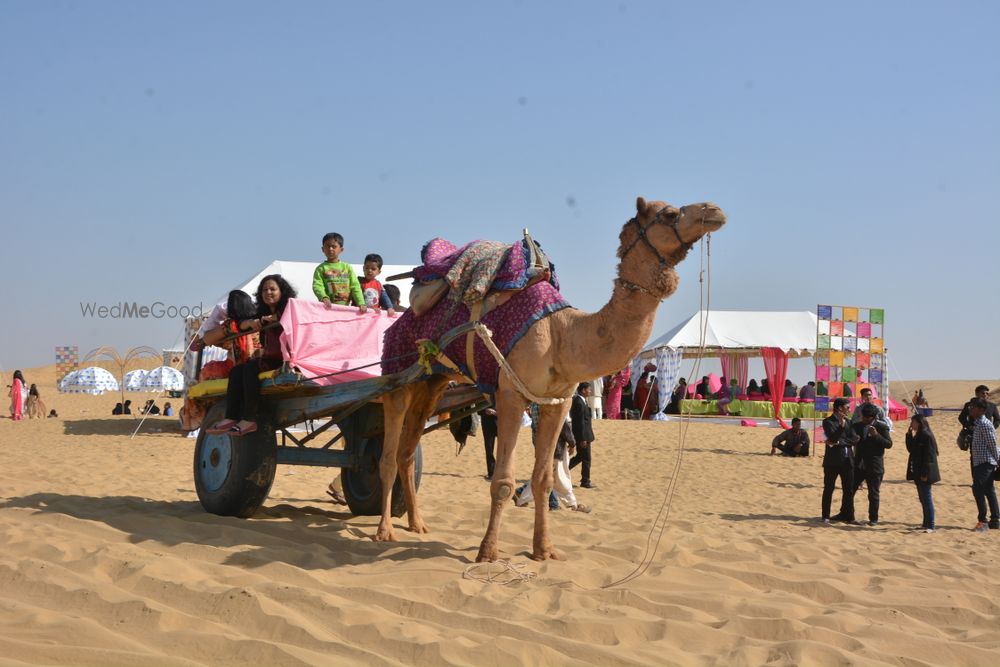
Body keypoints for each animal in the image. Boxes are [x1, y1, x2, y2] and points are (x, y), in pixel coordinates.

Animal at [376, 200, 728, 564]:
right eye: (670, 213)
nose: (714, 210)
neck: (562, 334)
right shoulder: (510, 394)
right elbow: (503, 481)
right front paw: (487, 552)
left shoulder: (557, 401)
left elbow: (544, 478)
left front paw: (544, 550)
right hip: (397, 373)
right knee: (386, 455)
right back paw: (384, 530)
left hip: (432, 381)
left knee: (407, 452)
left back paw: (417, 523)